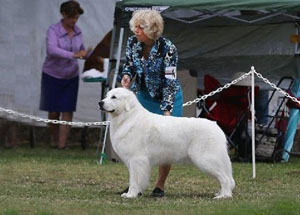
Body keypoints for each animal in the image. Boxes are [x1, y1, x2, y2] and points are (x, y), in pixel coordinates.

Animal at [99, 87, 236, 198]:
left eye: (114, 97)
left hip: (205, 159)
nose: (100, 102)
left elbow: (134, 180)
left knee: (224, 178)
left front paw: (131, 195)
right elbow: (135, 180)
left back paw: (224, 196)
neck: (128, 117)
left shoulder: (137, 160)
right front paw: (133, 193)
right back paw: (221, 193)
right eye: (106, 96)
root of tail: (216, 126)